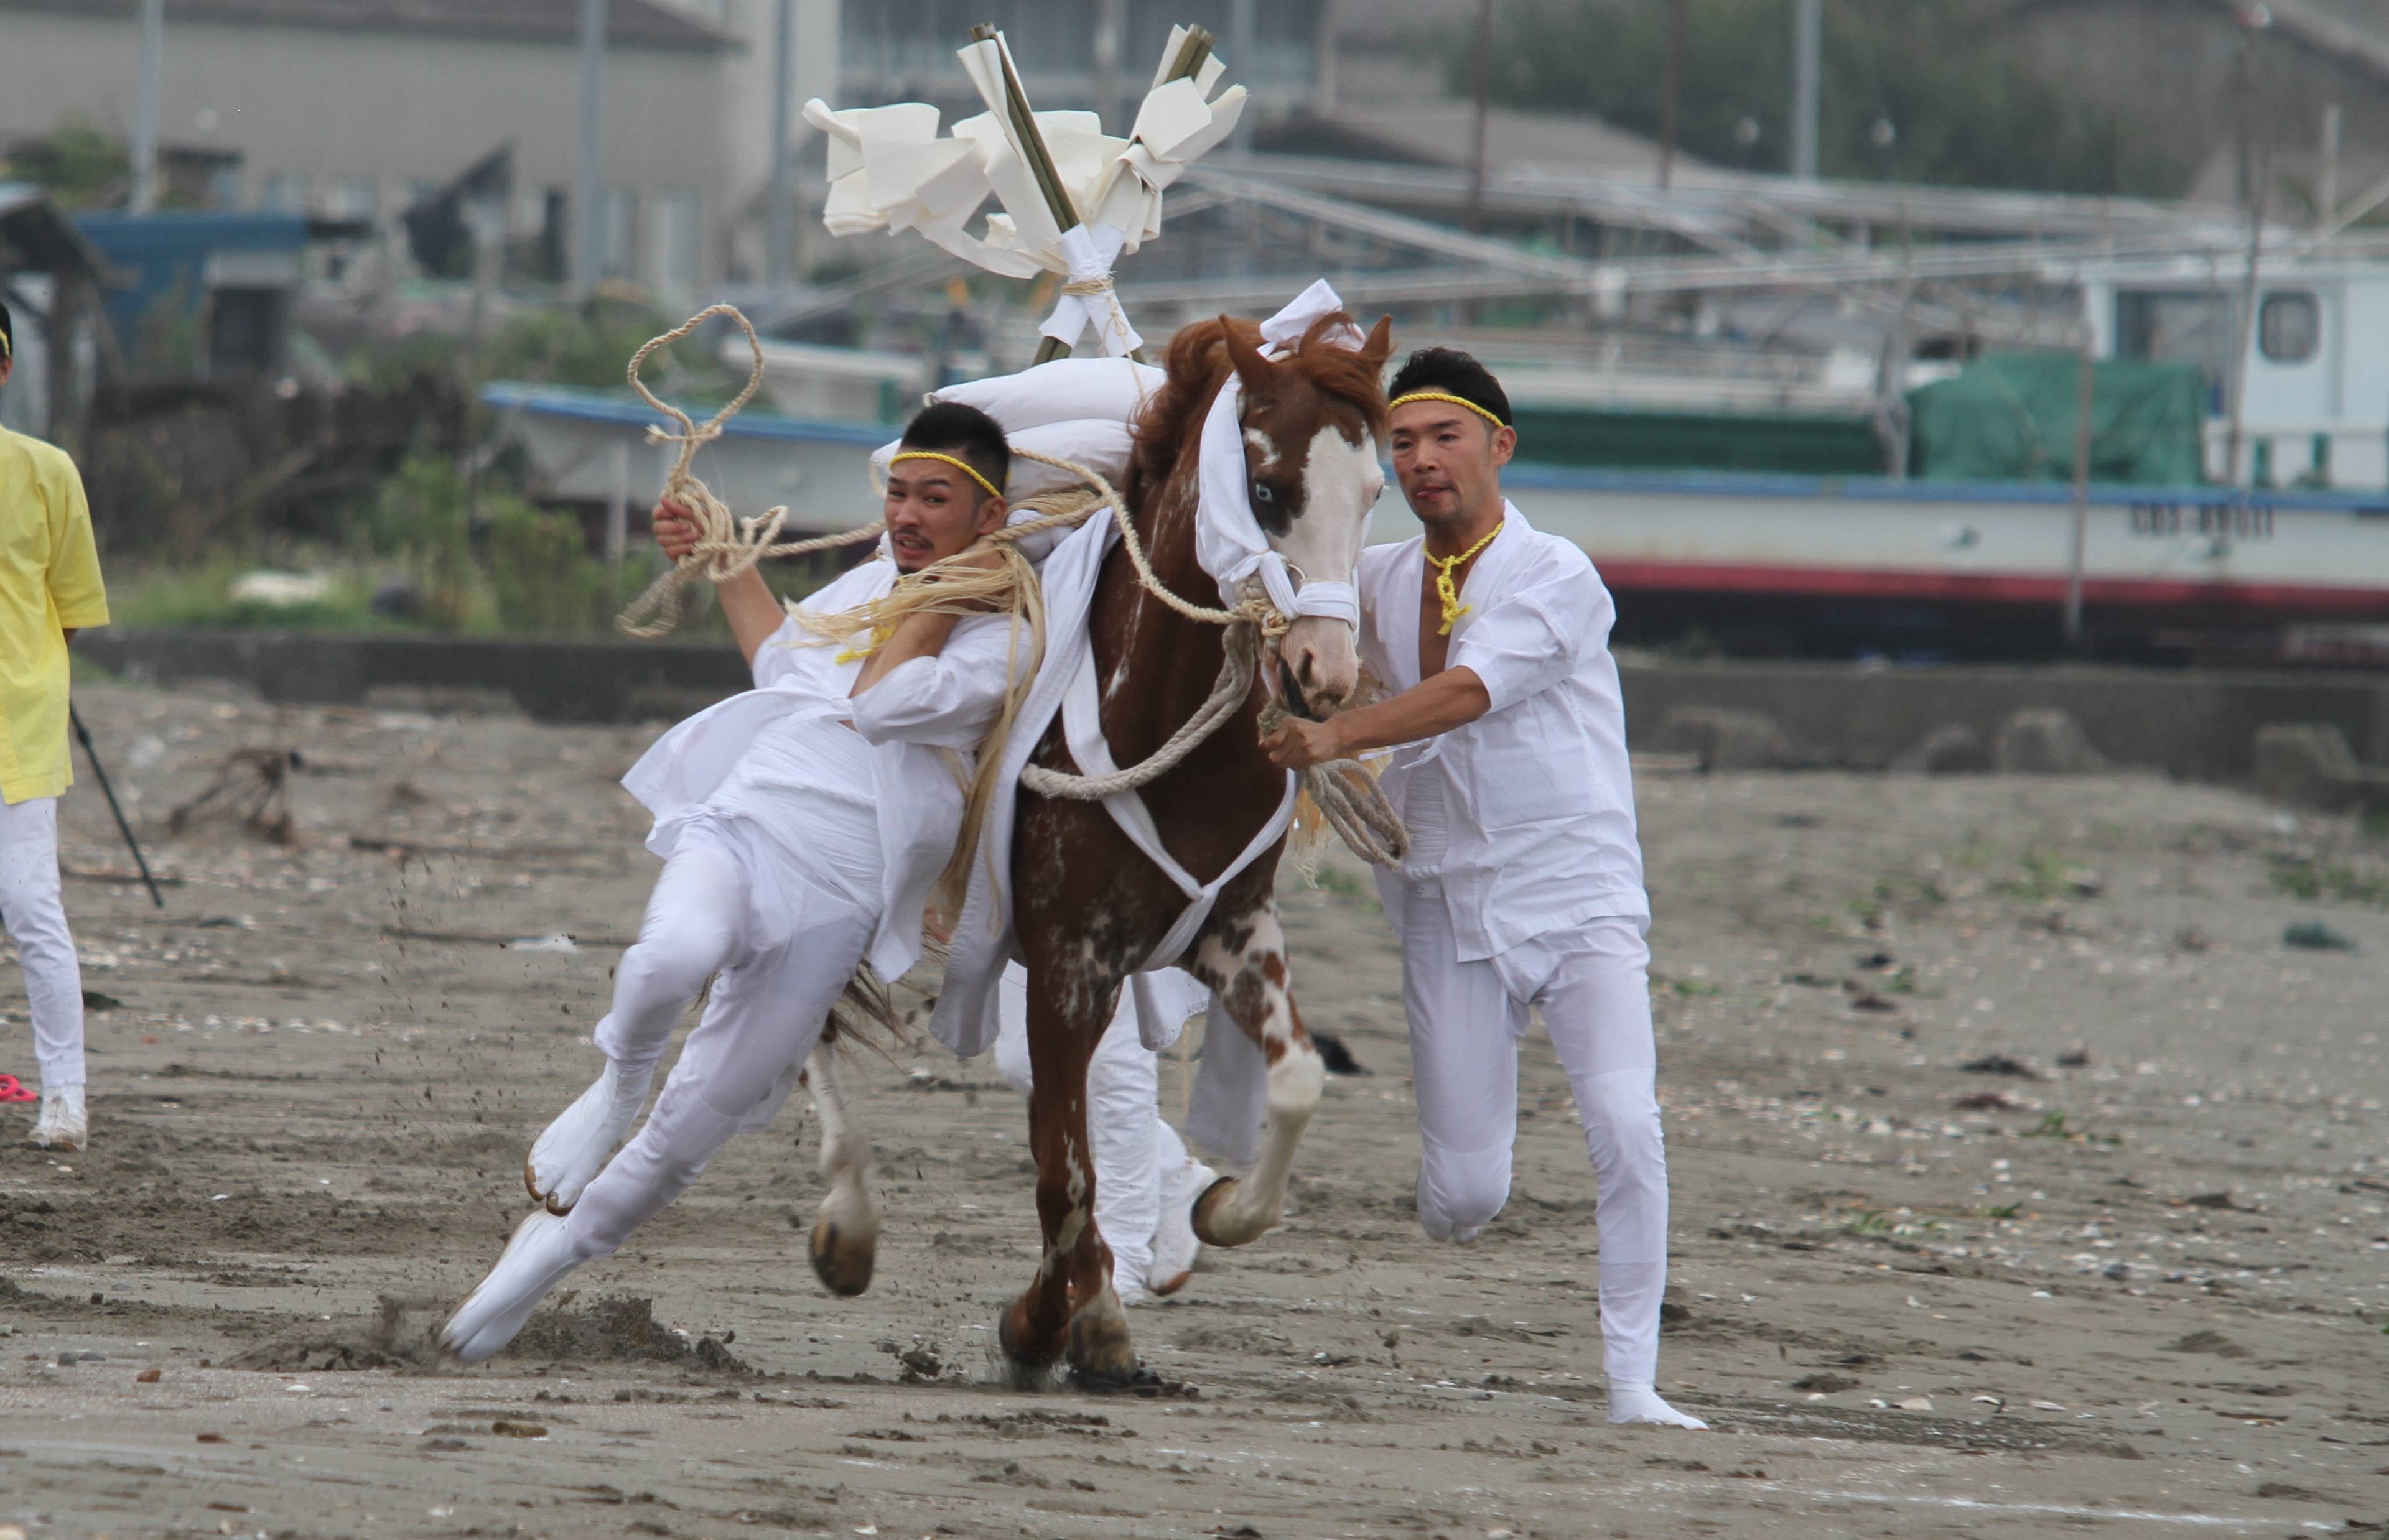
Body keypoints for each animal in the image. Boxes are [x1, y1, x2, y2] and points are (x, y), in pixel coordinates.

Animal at [999, 305, 1395, 1375]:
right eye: (1266, 490)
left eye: (1376, 490)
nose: (1326, 671)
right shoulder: (1066, 957)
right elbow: (1063, 1166)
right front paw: (1048, 1320)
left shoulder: (1233, 932)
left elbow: (1297, 1079)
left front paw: (1221, 1211)